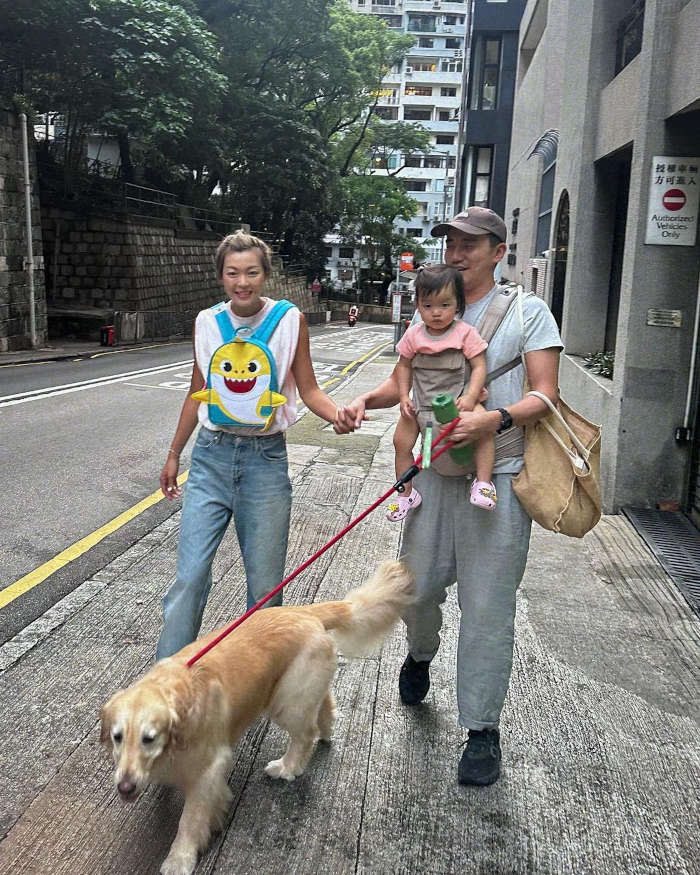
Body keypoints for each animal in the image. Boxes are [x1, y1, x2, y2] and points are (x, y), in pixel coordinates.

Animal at [101, 560, 412, 875]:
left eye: (149, 739)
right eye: (118, 737)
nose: (125, 787)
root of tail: (305, 611)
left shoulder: (210, 769)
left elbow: (190, 818)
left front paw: (180, 859)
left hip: (285, 702)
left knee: (304, 735)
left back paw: (287, 767)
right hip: (301, 689)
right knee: (324, 704)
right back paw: (326, 730)